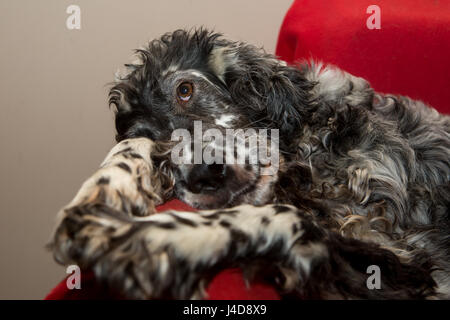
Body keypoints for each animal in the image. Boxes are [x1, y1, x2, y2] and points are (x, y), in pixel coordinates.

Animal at [50, 29, 450, 300]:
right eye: (154, 138)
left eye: (185, 90)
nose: (205, 173)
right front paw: (105, 192)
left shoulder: (405, 260)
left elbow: (275, 218)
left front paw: (145, 238)